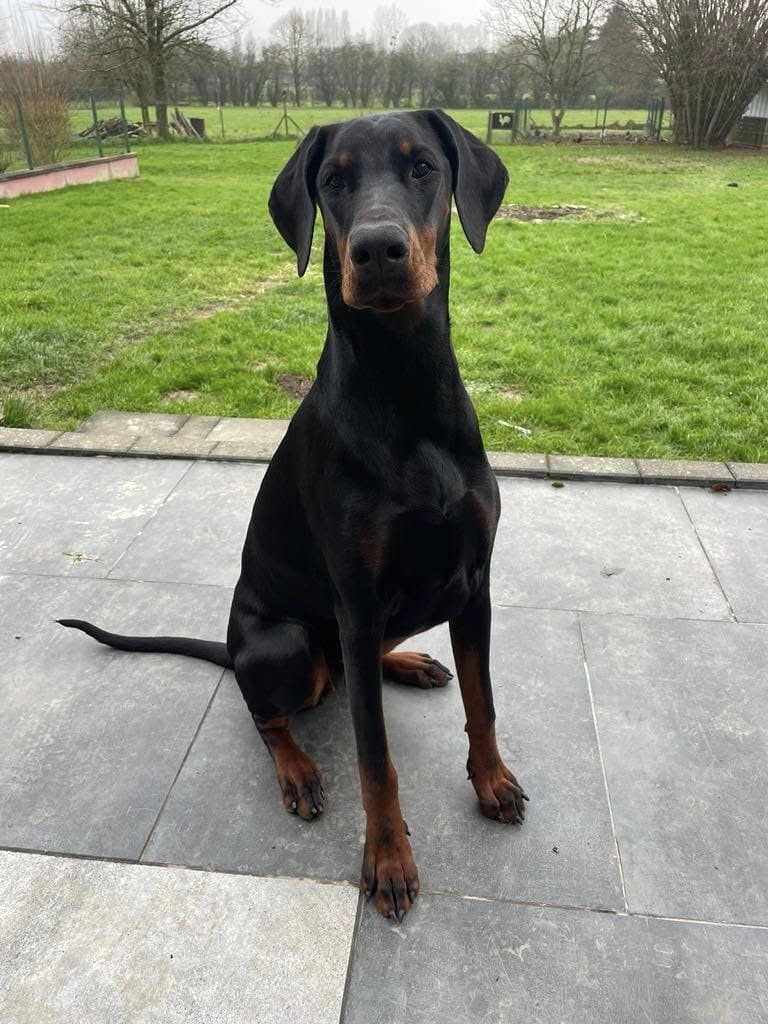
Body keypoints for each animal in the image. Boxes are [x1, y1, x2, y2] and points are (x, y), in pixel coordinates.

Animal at [60, 109, 528, 922]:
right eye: (334, 180)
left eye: (423, 168)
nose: (377, 250)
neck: (404, 387)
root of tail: (232, 644)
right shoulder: (359, 599)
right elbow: (375, 759)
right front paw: (389, 860)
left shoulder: (474, 585)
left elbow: (485, 702)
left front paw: (492, 781)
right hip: (285, 645)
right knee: (271, 710)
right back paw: (299, 770)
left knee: (351, 670)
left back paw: (407, 664)